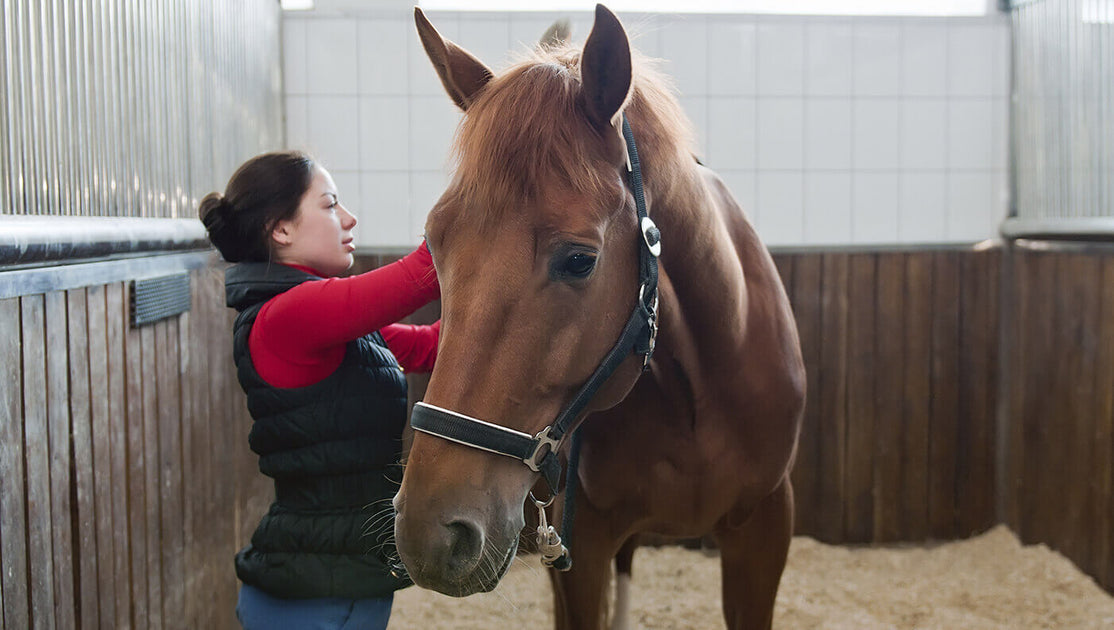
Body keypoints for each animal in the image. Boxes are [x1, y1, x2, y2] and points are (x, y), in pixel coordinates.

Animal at [392, 5, 805, 629]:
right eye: (435, 245)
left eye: (580, 260)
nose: (431, 534)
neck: (697, 394)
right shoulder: (579, 549)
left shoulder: (764, 529)